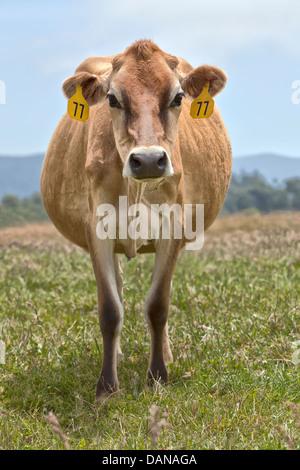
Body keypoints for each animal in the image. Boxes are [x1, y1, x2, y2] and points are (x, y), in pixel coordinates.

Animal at [40, 39, 232, 400]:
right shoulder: (97, 230)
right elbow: (109, 309)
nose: (148, 160)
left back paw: (165, 354)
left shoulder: (173, 228)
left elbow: (158, 305)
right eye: (113, 99)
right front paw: (106, 386)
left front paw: (158, 376)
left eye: (178, 97)